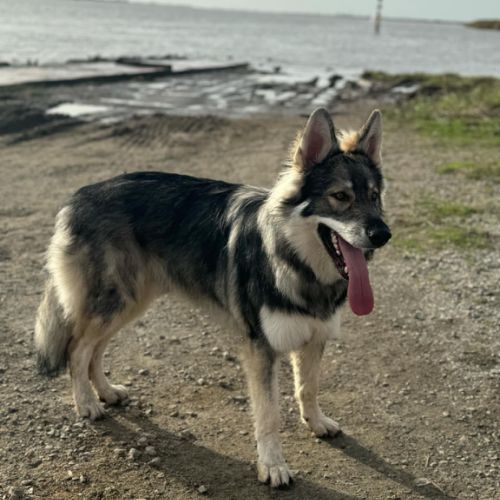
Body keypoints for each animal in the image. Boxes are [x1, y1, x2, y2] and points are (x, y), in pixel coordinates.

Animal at [34, 107, 391, 487]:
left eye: (374, 196)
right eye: (340, 197)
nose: (383, 234)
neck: (292, 260)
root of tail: (77, 197)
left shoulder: (313, 338)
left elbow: (307, 388)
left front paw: (316, 422)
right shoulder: (260, 350)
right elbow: (269, 415)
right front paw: (273, 465)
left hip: (128, 304)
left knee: (94, 350)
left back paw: (106, 392)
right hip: (115, 303)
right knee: (77, 349)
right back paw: (87, 404)